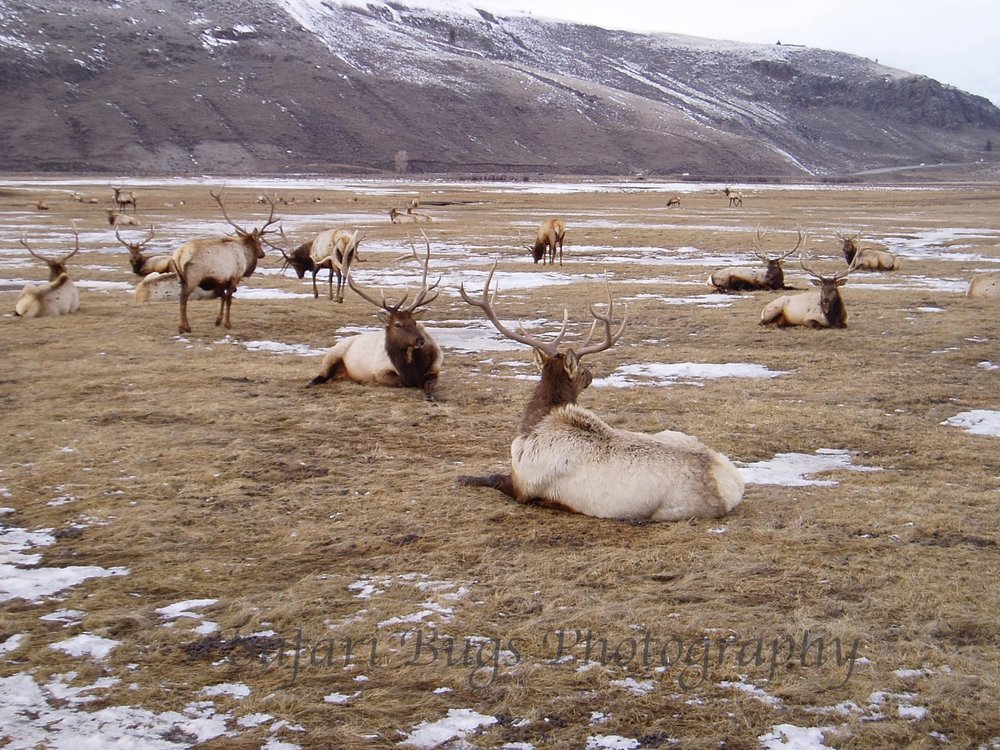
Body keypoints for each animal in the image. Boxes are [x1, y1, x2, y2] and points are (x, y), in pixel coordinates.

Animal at [168, 188, 278, 334]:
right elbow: (229, 300)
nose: (263, 254)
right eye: (260, 242)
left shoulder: (220, 281)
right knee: (183, 298)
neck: (245, 256)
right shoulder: (234, 277)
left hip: (180, 277)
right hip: (193, 278)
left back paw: (184, 326)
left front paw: (218, 320)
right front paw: (227, 323)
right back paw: (184, 327)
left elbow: (222, 297)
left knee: (182, 296)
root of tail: (179, 255)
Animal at [306, 235, 444, 402]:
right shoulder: (379, 372)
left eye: (415, 322)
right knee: (322, 375)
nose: (420, 340)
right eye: (397, 324)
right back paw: (310, 383)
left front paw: (429, 396)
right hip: (331, 355)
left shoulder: (434, 370)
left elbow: (429, 384)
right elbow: (400, 382)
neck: (410, 370)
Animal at [458, 264, 748, 524]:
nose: (590, 374)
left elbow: (490, 478)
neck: (536, 423)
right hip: (675, 433)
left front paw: (463, 477)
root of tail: (732, 484)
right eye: (582, 369)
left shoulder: (523, 485)